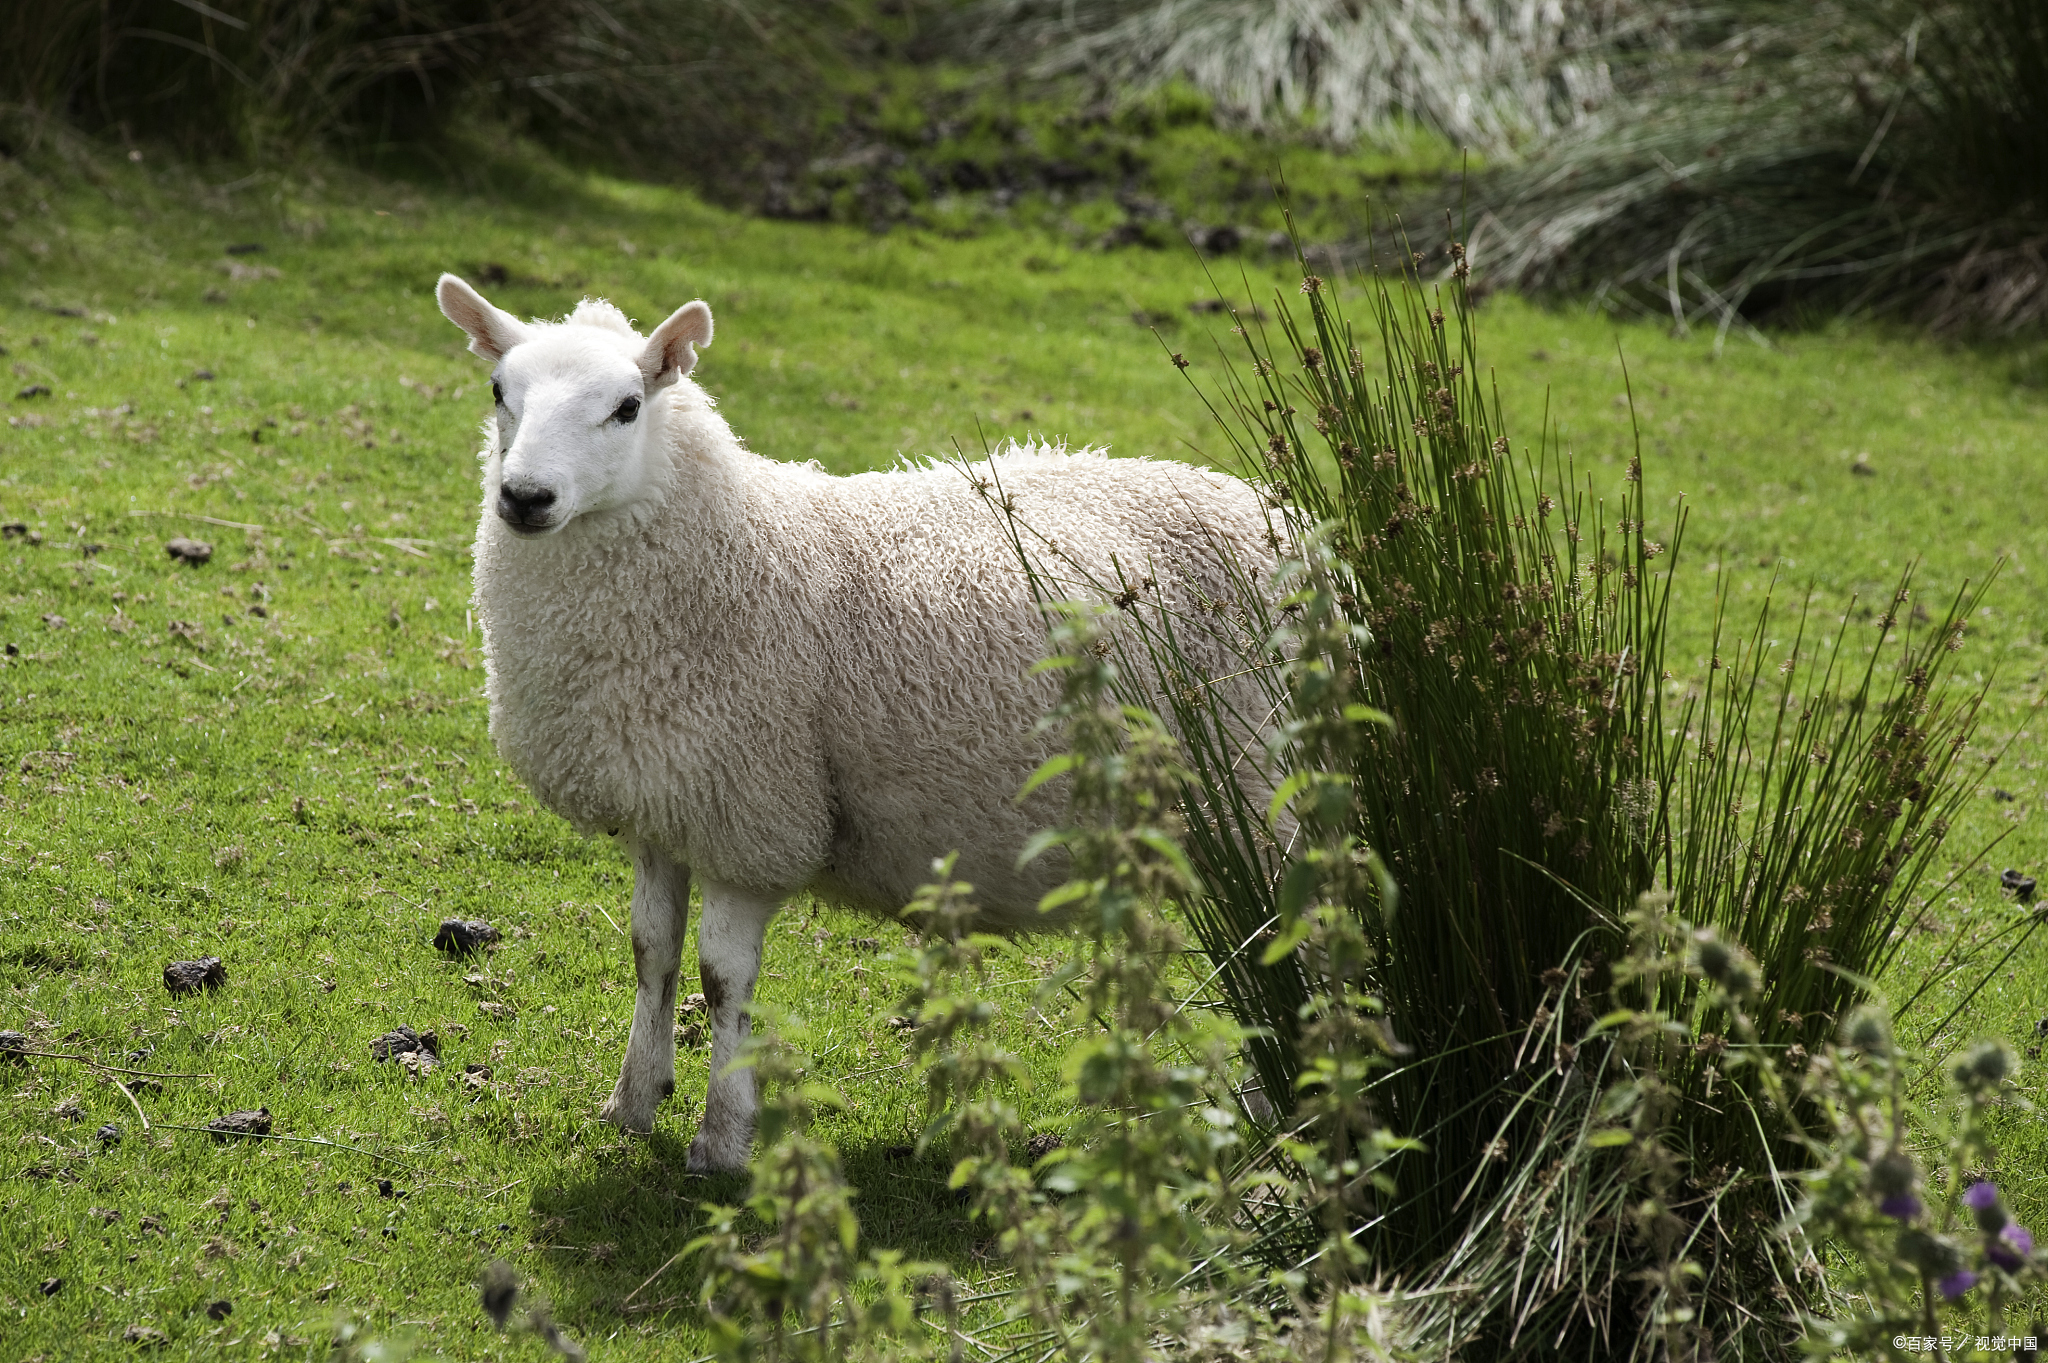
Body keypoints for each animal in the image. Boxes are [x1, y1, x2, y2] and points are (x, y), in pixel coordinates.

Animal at [434, 270, 1277, 1162]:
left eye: (628, 407)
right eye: (500, 391)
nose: (525, 498)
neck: (729, 543)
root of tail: (1281, 513)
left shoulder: (751, 815)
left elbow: (721, 979)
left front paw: (723, 1138)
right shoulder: (664, 802)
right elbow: (651, 953)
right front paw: (632, 1101)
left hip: (1264, 799)